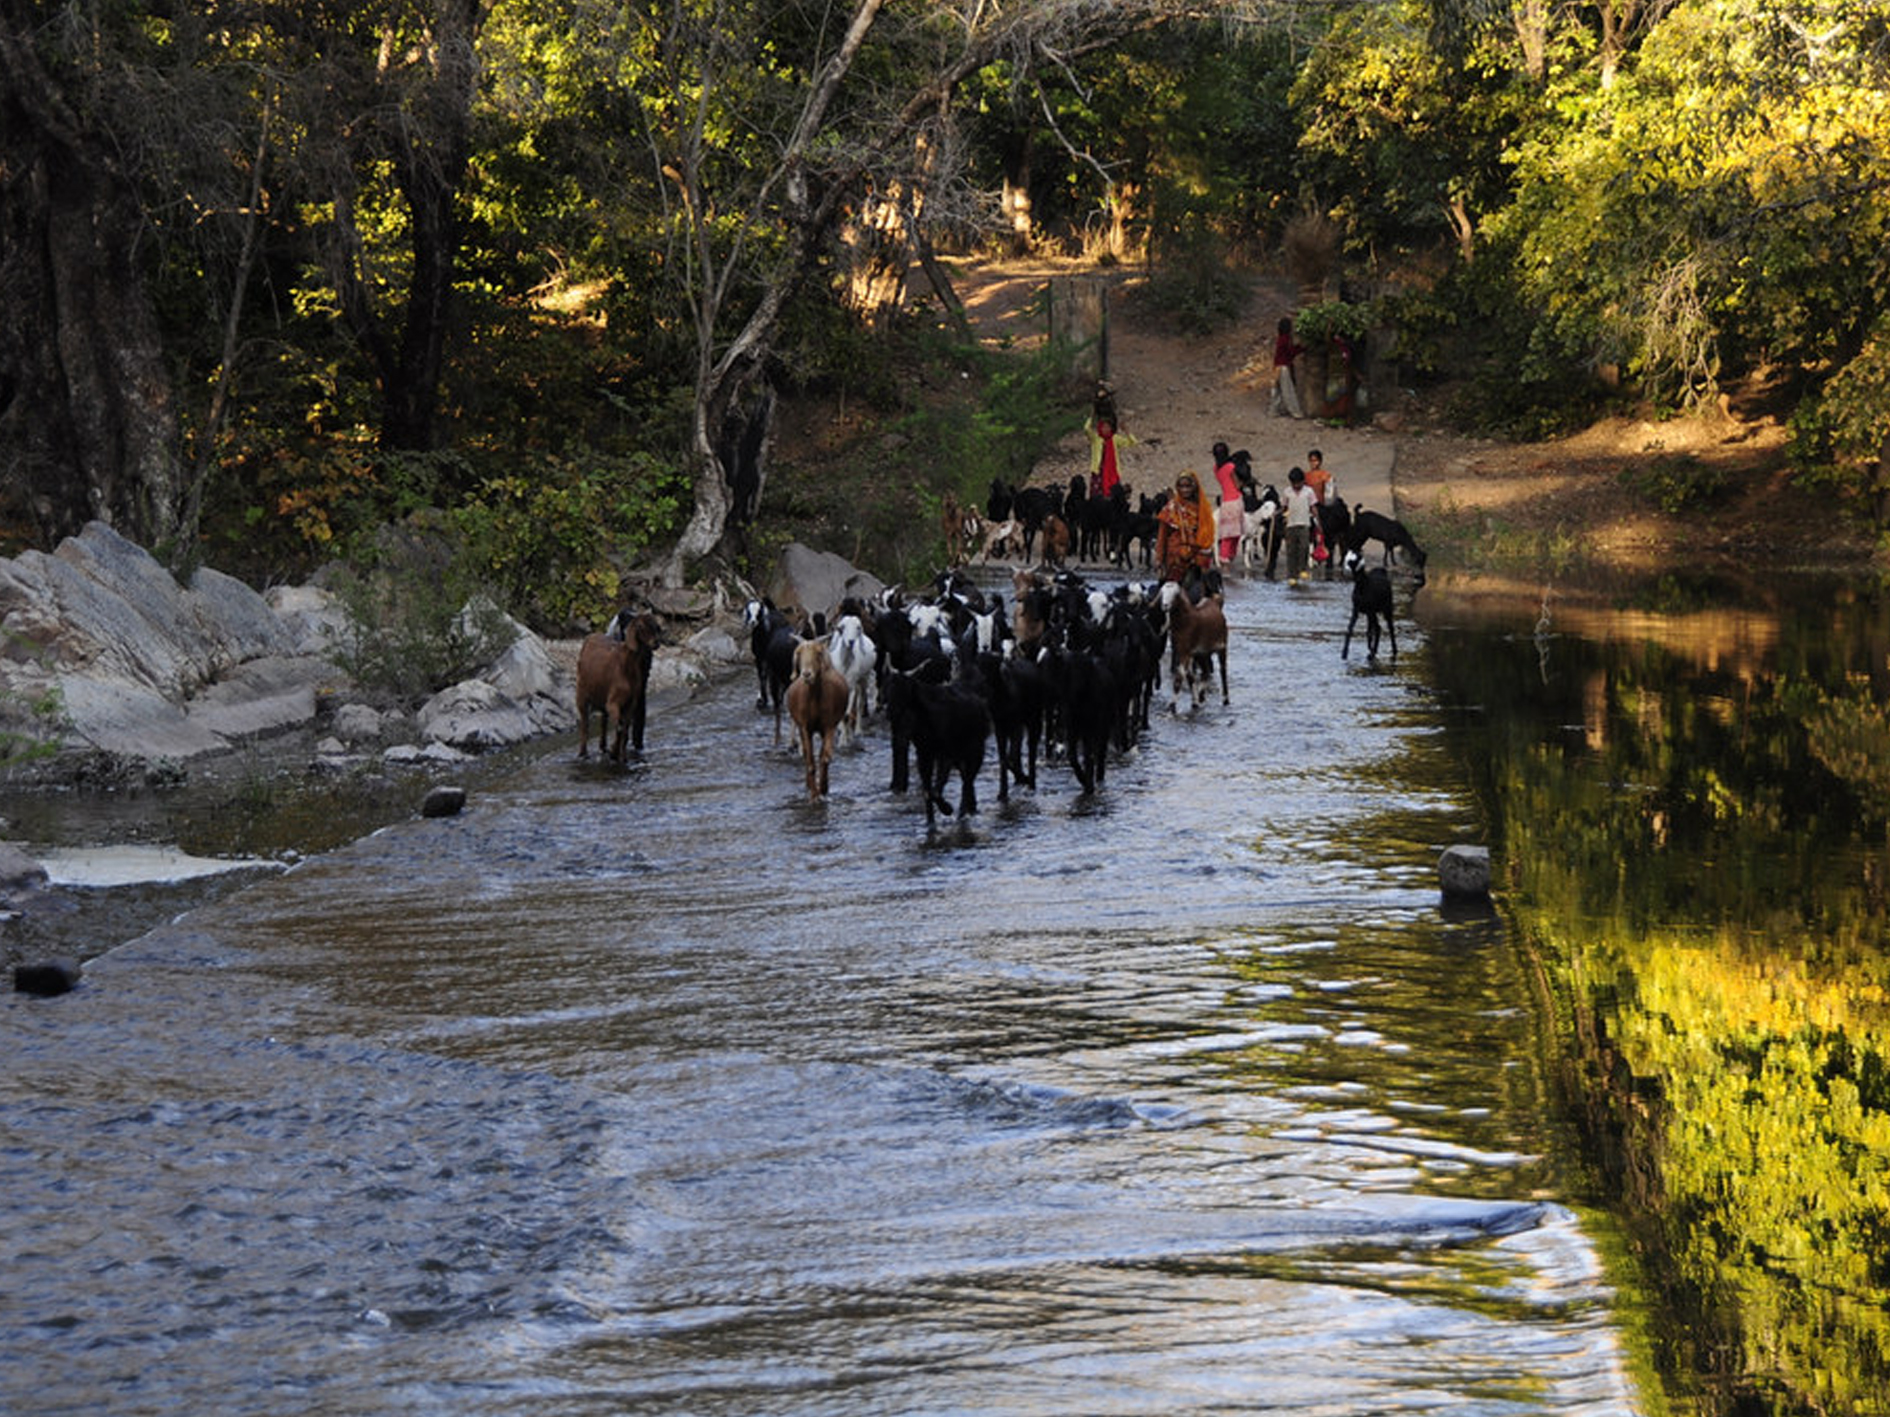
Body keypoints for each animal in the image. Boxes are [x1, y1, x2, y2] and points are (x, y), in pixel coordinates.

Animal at [574, 612, 665, 767]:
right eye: (639, 626)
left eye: (655, 626)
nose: (656, 643)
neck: (625, 667)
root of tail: (591, 636)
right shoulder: (614, 702)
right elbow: (619, 727)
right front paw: (614, 752)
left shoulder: (631, 703)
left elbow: (625, 730)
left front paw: (621, 757)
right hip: (581, 694)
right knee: (585, 724)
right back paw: (583, 754)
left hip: (602, 695)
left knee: (603, 721)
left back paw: (603, 747)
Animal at [782, 638, 850, 804]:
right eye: (799, 653)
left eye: (818, 653)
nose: (807, 674)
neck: (814, 701)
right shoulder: (804, 727)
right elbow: (810, 762)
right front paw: (813, 795)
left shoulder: (829, 726)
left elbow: (825, 758)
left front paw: (823, 790)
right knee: (808, 755)